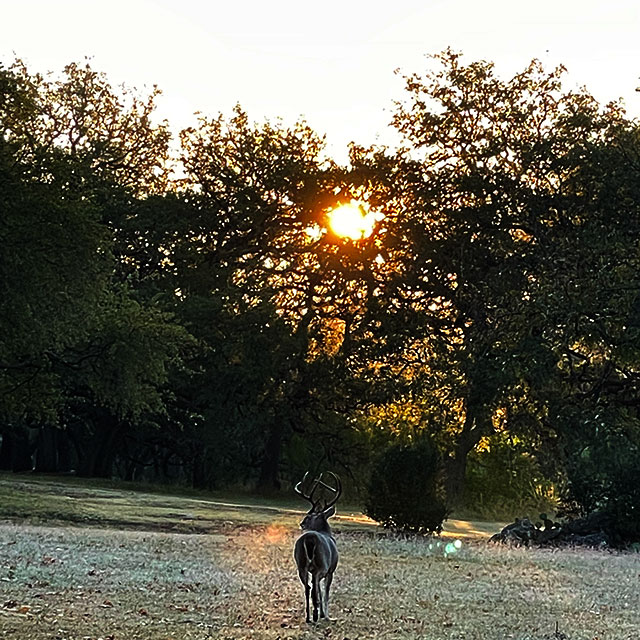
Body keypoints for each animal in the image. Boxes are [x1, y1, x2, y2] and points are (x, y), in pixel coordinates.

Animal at [296, 470, 342, 620]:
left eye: (309, 517)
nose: (302, 523)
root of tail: (309, 538)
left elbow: (320, 591)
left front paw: (322, 613)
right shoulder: (331, 569)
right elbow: (325, 592)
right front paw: (325, 614)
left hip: (301, 565)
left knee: (308, 588)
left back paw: (308, 617)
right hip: (321, 564)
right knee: (314, 587)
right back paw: (316, 615)